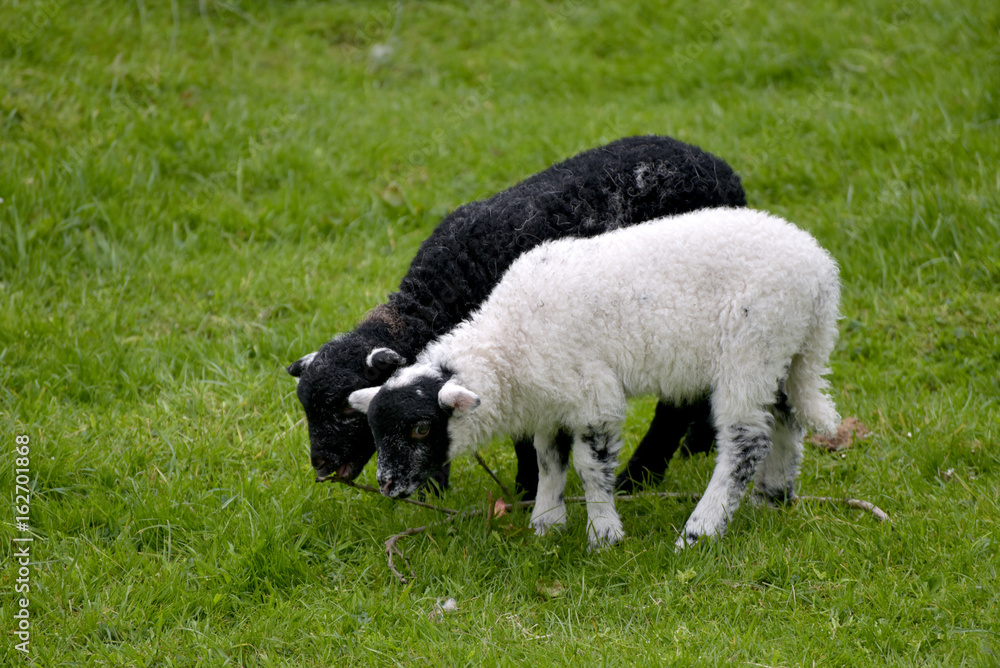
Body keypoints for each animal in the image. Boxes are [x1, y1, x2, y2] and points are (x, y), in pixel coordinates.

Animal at [287, 135, 746, 498]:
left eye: (347, 409)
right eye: (306, 407)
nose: (320, 465)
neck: (447, 289)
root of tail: (720, 168)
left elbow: (525, 432)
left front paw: (527, 491)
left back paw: (641, 476)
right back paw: (696, 445)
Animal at [349, 208, 841, 550]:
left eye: (421, 428)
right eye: (373, 428)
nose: (386, 485)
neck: (510, 342)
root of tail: (822, 274)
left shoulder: (594, 395)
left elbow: (590, 466)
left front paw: (603, 534)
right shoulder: (552, 399)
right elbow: (549, 458)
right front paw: (546, 523)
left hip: (751, 344)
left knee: (745, 441)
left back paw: (699, 531)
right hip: (784, 350)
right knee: (786, 417)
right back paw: (772, 498)